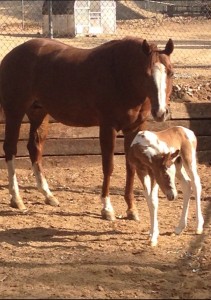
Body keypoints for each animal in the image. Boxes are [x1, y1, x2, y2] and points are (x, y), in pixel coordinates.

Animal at [0, 37, 174, 220]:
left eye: (170, 73)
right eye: (147, 74)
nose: (161, 112)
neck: (120, 74)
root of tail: (12, 54)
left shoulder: (134, 129)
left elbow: (131, 167)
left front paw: (131, 209)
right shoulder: (108, 127)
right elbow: (108, 166)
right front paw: (107, 208)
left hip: (38, 113)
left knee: (34, 148)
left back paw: (48, 195)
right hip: (15, 112)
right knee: (10, 149)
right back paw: (16, 198)